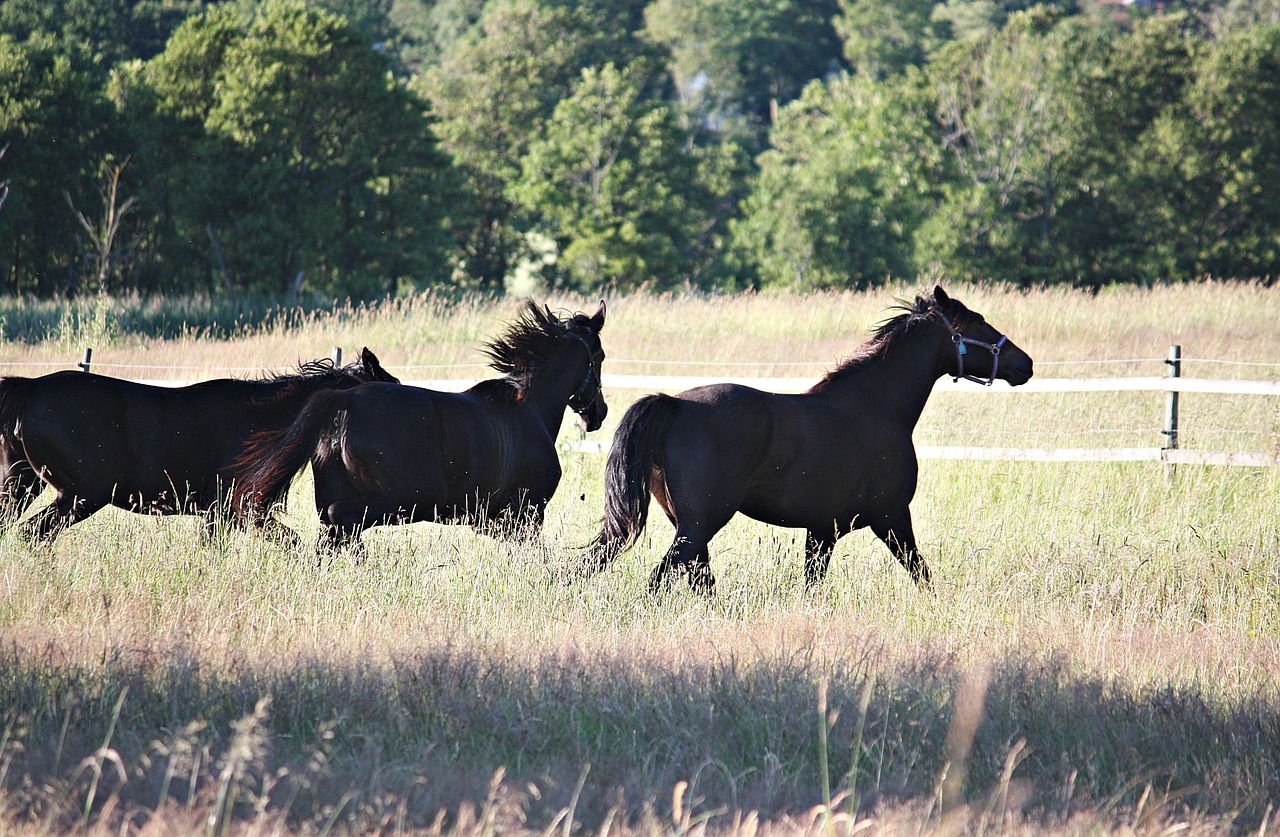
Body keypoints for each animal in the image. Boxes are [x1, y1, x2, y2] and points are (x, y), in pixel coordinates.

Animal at [0, 348, 396, 540]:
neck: (263, 420)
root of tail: (28, 389)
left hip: (21, 483)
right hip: (81, 494)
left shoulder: (217, 514)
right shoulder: (242, 508)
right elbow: (292, 543)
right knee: (34, 535)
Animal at [232, 302, 606, 550]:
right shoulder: (526, 515)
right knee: (342, 522)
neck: (530, 407)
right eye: (599, 357)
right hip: (394, 501)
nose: (598, 413)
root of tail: (343, 401)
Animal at [586, 289, 1034, 596]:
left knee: (696, 579)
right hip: (700, 524)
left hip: (689, 525)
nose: (1025, 364)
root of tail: (675, 405)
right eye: (977, 324)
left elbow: (811, 587)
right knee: (662, 579)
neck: (876, 404)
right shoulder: (892, 517)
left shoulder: (822, 531)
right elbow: (921, 573)